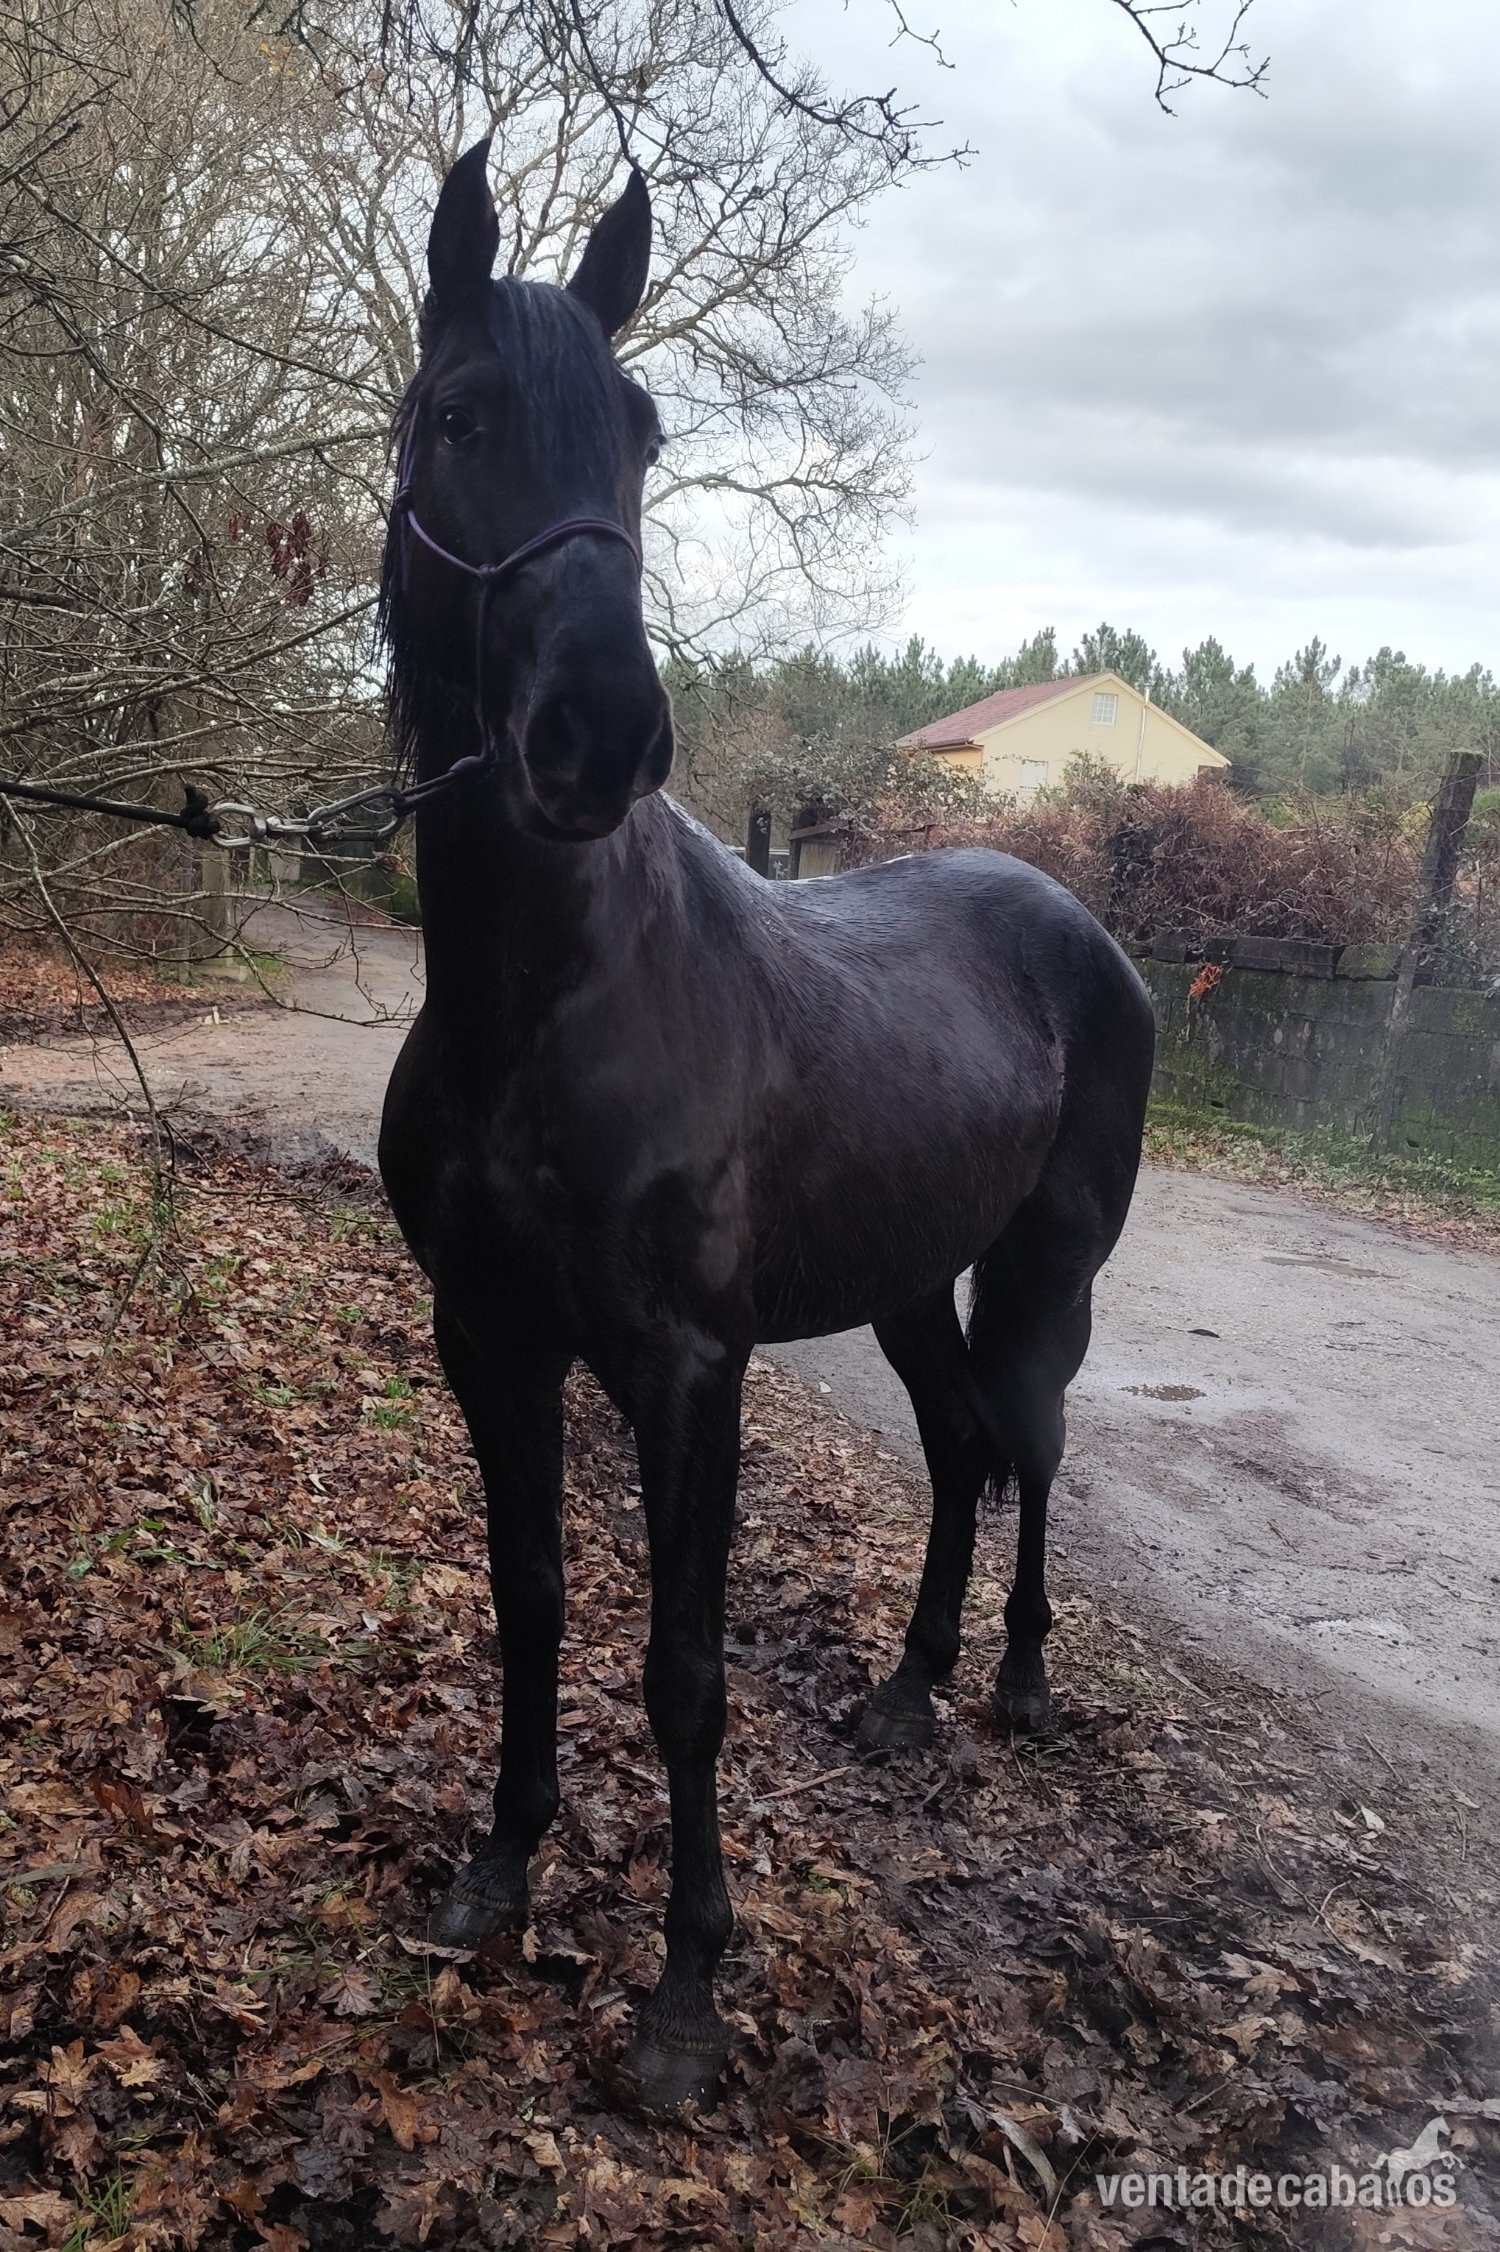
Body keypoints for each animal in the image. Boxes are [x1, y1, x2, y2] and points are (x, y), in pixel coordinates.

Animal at [376, 140, 1156, 2112]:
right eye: (458, 414)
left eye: (644, 431)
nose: (599, 736)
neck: (549, 1001)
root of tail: (1083, 928)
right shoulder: (490, 1337)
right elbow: (530, 1598)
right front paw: (497, 1874)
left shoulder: (684, 1368)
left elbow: (684, 1668)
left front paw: (684, 1997)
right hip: (904, 1284)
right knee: (958, 1448)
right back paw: (908, 1690)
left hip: (1040, 1281)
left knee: (1033, 1446)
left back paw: (1016, 1687)